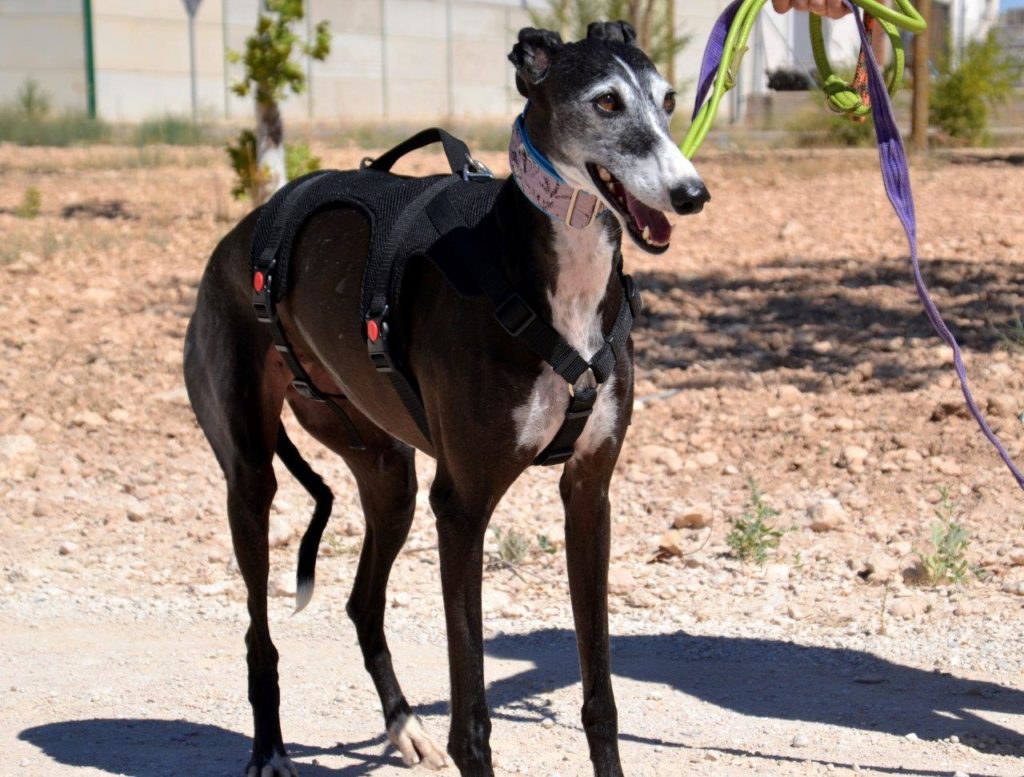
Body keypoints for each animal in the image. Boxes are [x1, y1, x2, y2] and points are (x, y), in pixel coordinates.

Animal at [184, 21, 708, 773]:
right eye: (607, 102)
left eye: (667, 100)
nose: (690, 192)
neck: (554, 285)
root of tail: (234, 238)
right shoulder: (460, 507)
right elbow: (474, 723)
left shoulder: (589, 492)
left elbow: (600, 699)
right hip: (251, 472)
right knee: (260, 625)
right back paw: (270, 747)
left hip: (387, 472)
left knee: (362, 602)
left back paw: (403, 725)